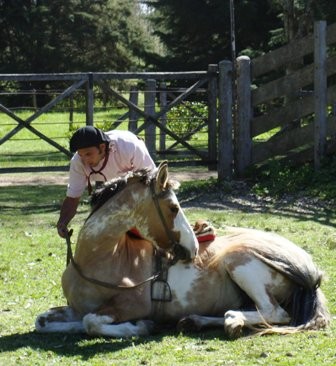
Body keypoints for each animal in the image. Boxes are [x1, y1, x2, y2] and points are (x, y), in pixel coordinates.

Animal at [35, 162, 330, 338]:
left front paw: (141, 326)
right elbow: (45, 321)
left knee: (275, 313)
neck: (101, 259)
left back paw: (232, 320)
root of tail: (312, 271)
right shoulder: (76, 308)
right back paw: (196, 321)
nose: (194, 247)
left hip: (240, 262)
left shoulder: (131, 304)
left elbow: (92, 323)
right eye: (174, 207)